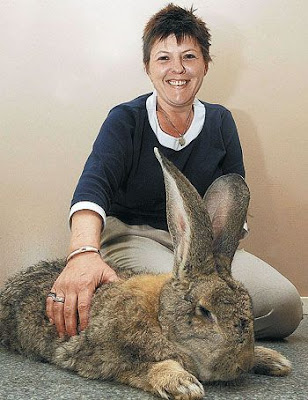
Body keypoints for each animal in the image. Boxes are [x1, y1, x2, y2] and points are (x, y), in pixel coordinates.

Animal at [0, 148, 292, 398]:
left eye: (249, 308)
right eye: (204, 311)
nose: (241, 364)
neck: (162, 320)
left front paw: (275, 360)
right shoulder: (110, 357)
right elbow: (145, 367)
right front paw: (183, 384)